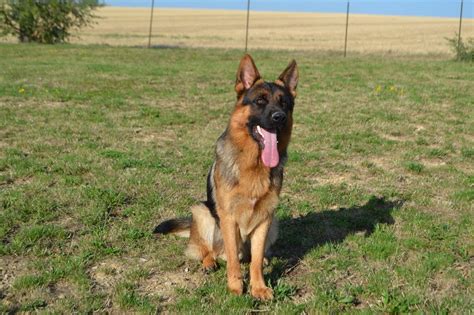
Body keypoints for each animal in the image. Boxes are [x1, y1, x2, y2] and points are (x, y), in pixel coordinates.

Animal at [155, 55, 296, 302]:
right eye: (260, 101)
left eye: (284, 104)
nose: (279, 117)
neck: (253, 164)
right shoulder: (228, 218)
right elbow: (232, 260)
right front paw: (235, 287)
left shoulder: (265, 217)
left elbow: (255, 261)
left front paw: (258, 287)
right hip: (202, 213)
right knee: (209, 250)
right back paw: (209, 262)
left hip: (274, 222)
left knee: (250, 256)